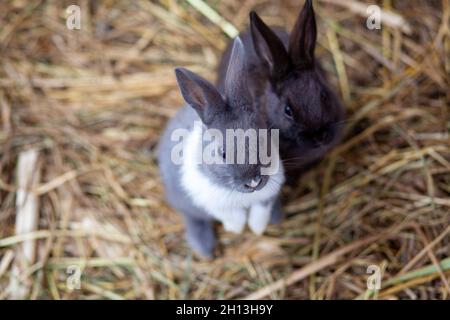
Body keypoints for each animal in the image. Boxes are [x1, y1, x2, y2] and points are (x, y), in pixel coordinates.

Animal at [158, 38, 284, 258]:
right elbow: (231, 216)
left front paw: (257, 228)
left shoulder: (267, 193)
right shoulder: (207, 200)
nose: (253, 182)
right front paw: (237, 228)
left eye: (262, 139)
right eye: (223, 154)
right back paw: (205, 249)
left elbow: (260, 211)